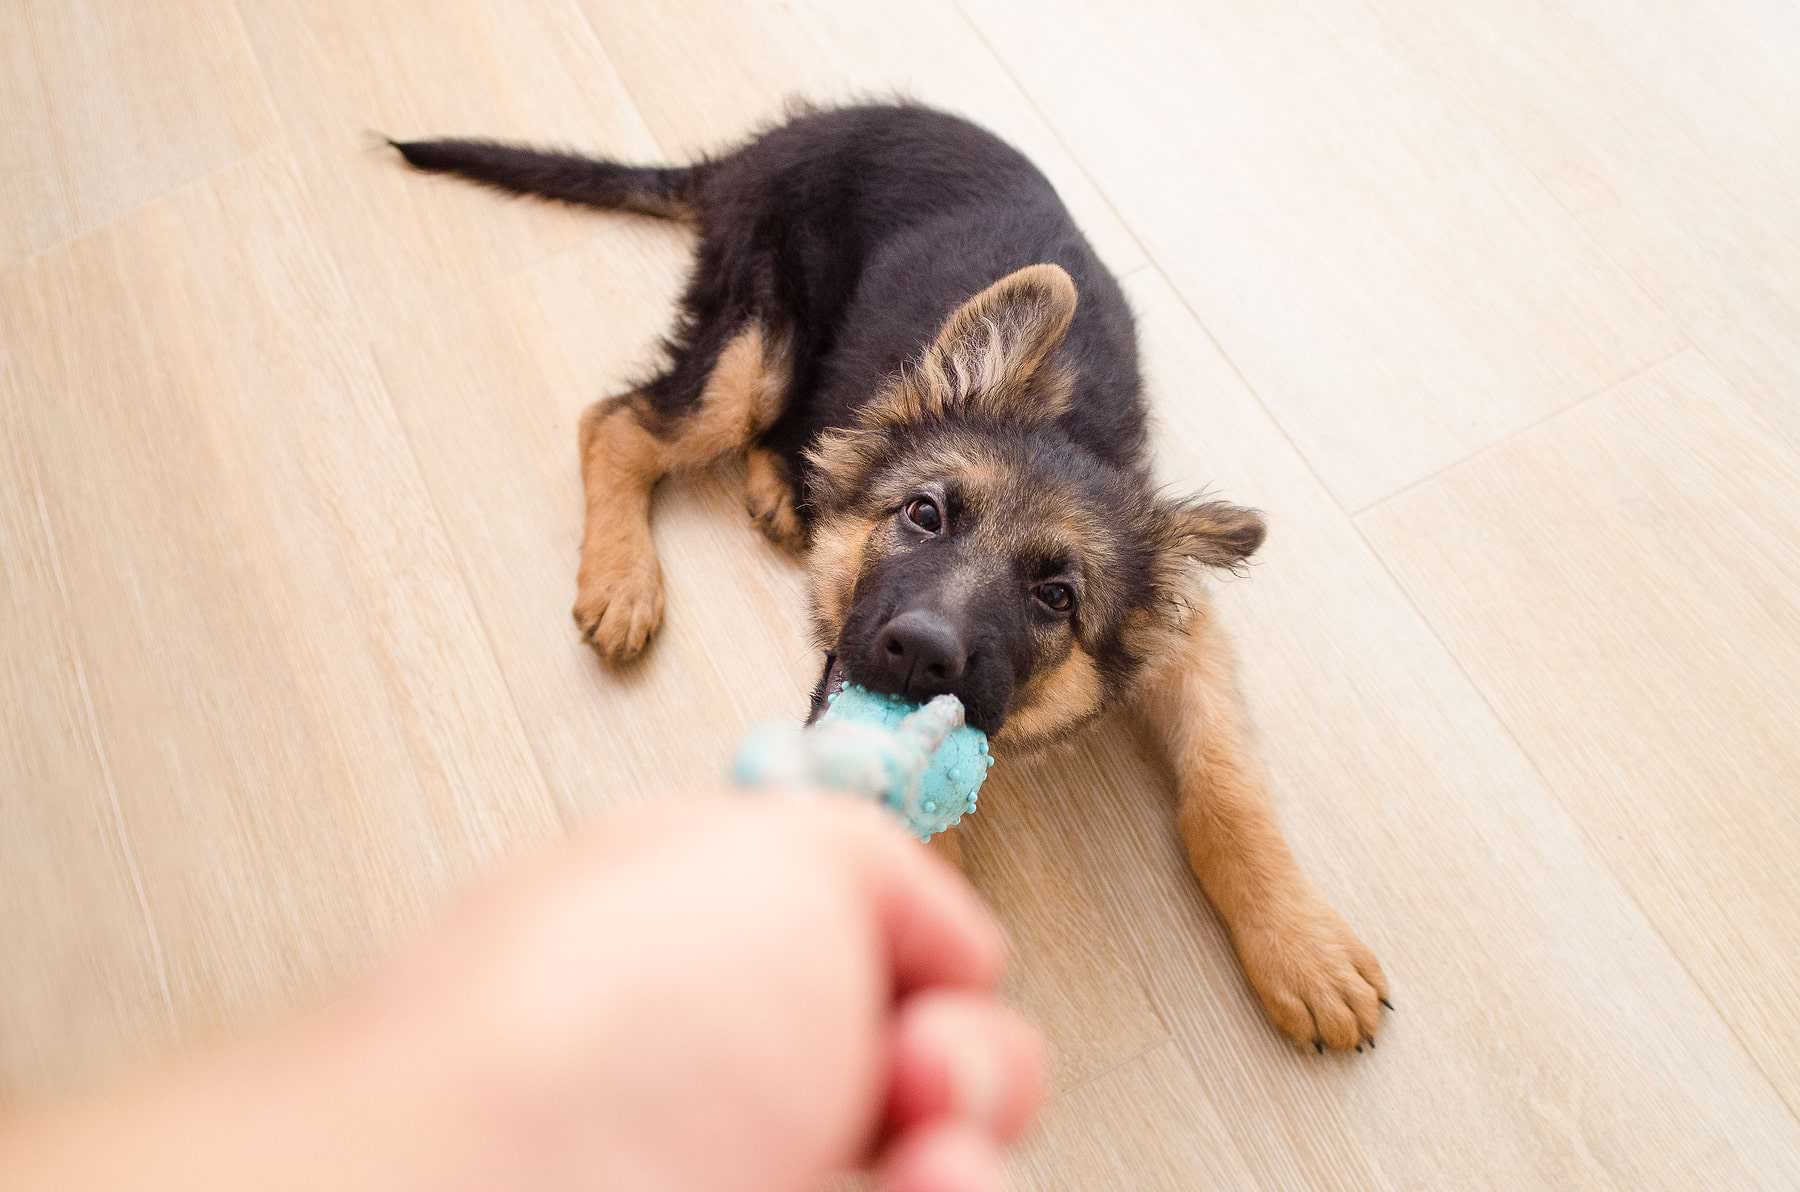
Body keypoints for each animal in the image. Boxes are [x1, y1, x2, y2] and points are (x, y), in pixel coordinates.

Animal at [394, 102, 1389, 1058]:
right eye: (924, 515)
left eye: (1057, 596)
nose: (918, 654)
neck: (1070, 427)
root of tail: (771, 144)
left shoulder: (1184, 636)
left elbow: (1227, 790)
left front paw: (1302, 947)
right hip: (760, 347)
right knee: (622, 421)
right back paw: (624, 577)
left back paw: (780, 489)